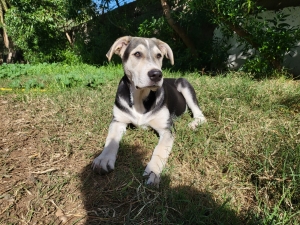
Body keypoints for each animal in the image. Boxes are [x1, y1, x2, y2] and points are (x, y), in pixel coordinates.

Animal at [92, 35, 207, 186]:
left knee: (201, 116)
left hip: (184, 83)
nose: (157, 74)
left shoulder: (166, 129)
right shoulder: (118, 121)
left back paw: (193, 124)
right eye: (137, 54)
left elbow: (160, 149)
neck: (140, 97)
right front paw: (103, 159)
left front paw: (153, 171)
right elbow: (111, 139)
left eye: (159, 55)